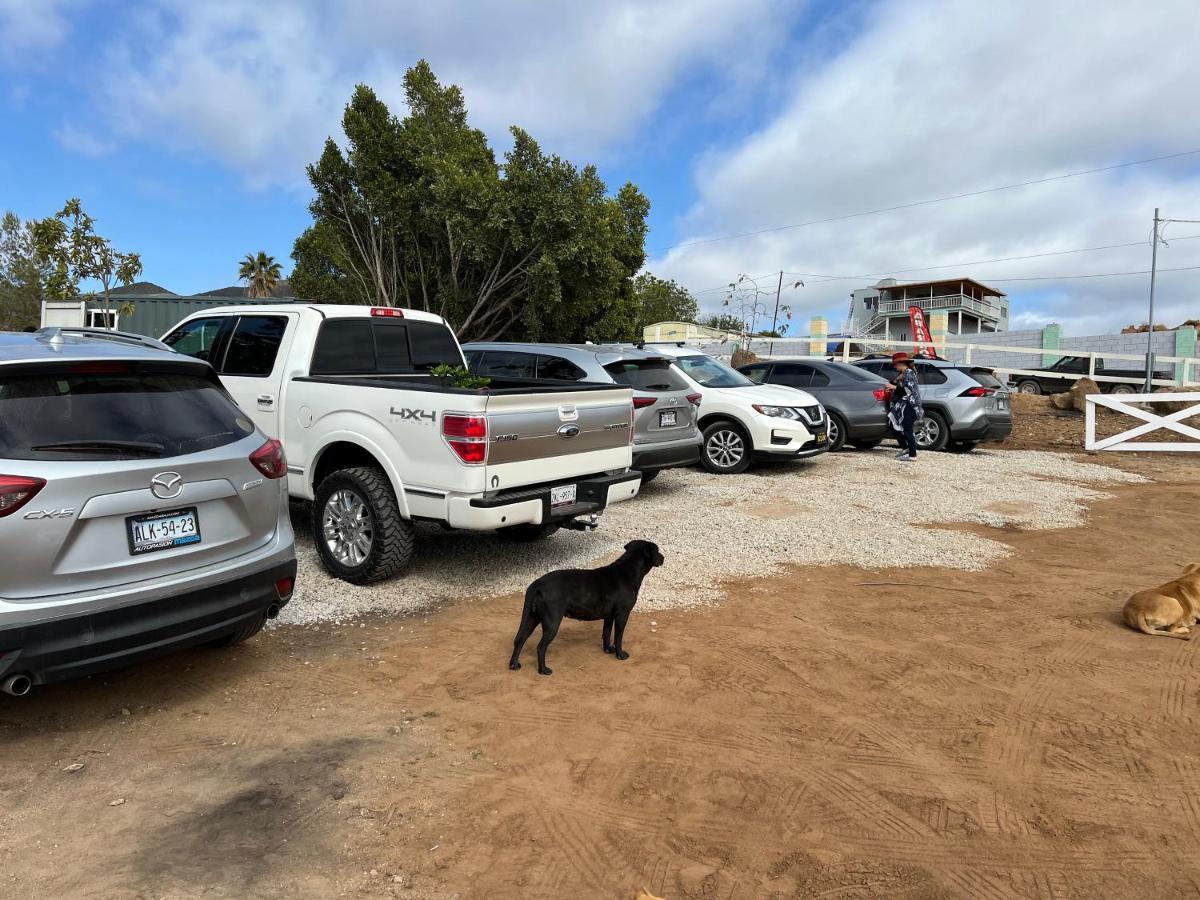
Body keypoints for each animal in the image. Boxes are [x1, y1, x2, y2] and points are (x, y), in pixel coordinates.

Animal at [504, 542, 662, 676]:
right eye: (657, 550)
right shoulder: (622, 614)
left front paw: (607, 650)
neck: (628, 571)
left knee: (520, 639)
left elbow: (606, 633)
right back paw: (543, 670)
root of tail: (537, 584)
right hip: (552, 622)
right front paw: (620, 655)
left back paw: (514, 665)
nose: (663, 557)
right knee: (541, 647)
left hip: (532, 618)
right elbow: (618, 636)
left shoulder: (609, 616)